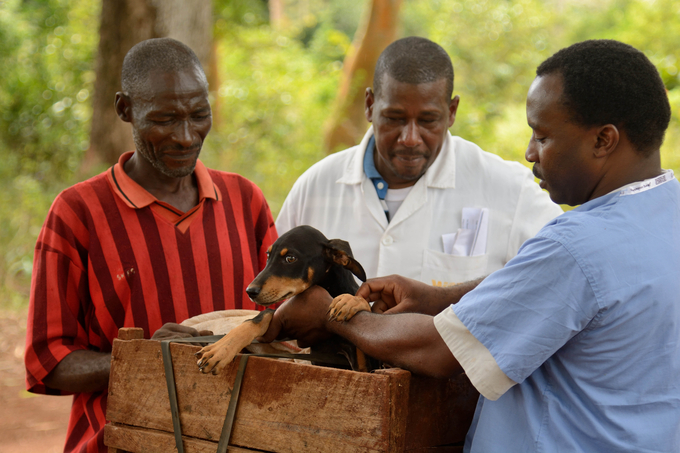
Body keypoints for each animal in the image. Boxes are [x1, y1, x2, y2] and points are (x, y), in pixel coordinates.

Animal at [194, 224, 374, 372]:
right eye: (268, 255)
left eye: (290, 258)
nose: (250, 291)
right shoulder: (277, 329)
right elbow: (259, 317)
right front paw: (220, 349)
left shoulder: (364, 366)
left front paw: (350, 301)